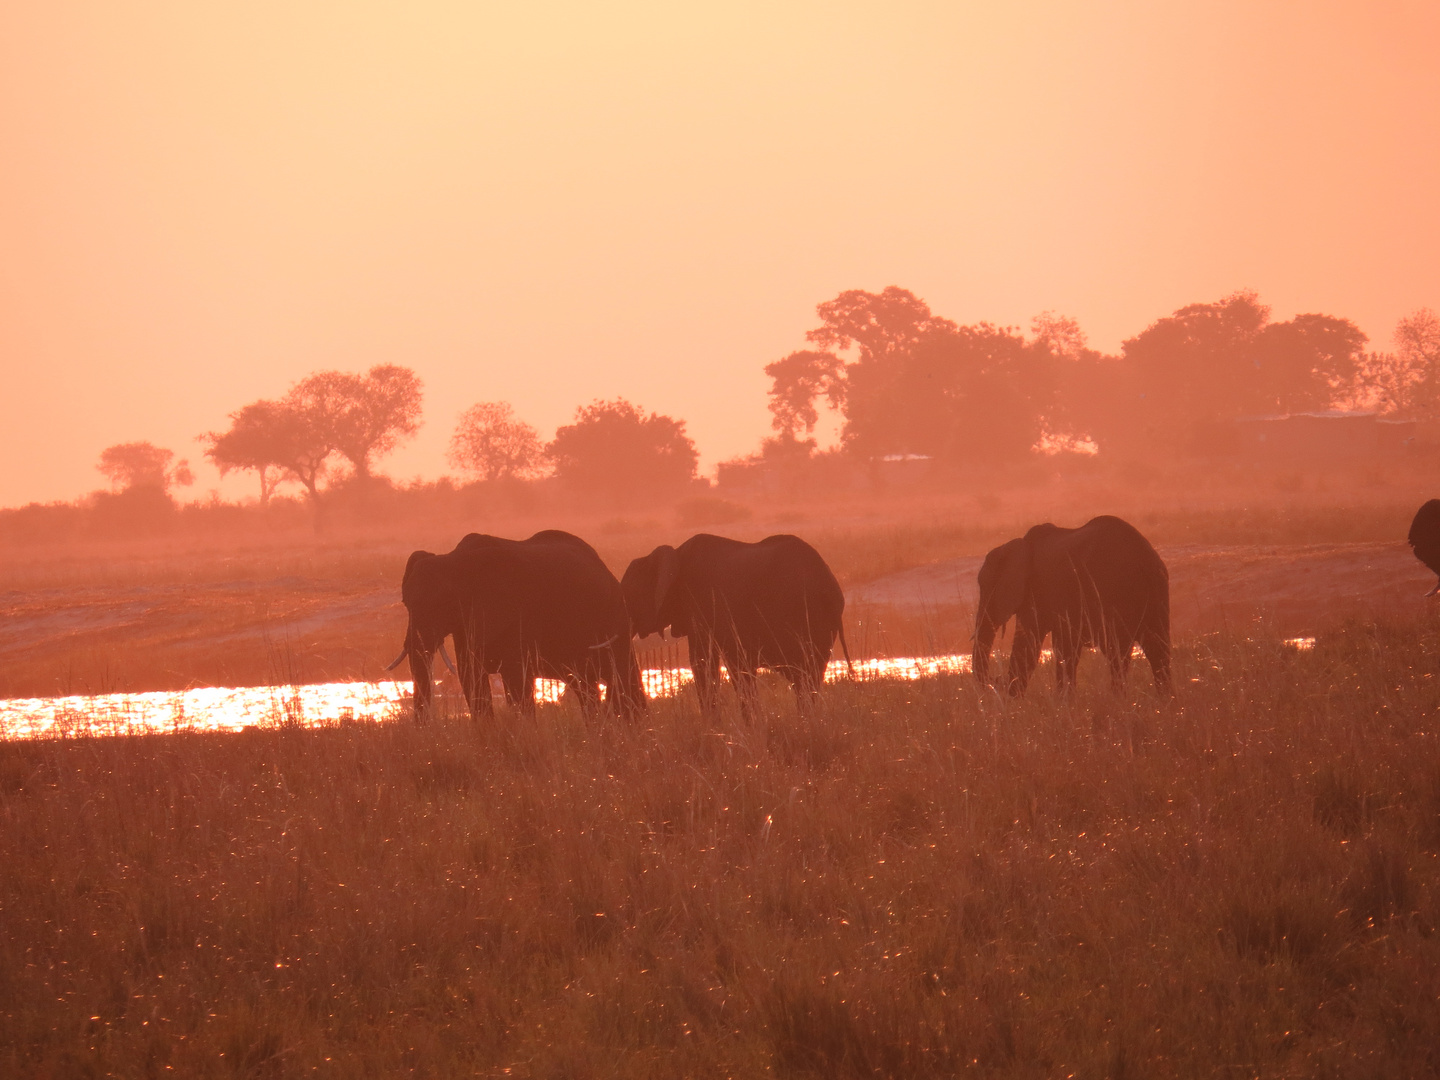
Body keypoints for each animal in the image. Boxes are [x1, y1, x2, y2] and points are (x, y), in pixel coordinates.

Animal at [391, 529, 645, 722]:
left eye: (444, 605)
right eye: (406, 604)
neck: (457, 560)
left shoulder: (519, 613)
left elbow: (516, 681)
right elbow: (472, 679)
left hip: (616, 616)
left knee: (622, 675)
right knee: (585, 685)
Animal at [622, 535, 846, 720]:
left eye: (629, 595)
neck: (675, 554)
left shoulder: (701, 602)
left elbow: (705, 663)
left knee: (803, 676)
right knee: (807, 678)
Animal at [973, 518, 1175, 702]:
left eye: (986, 588)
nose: (996, 680)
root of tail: (1144, 558)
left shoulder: (1034, 592)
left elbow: (1028, 646)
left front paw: (1020, 702)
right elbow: (1064, 649)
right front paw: (1064, 702)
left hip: (1117, 590)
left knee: (1117, 652)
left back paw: (1120, 701)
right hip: (1156, 590)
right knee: (1157, 647)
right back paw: (1164, 701)